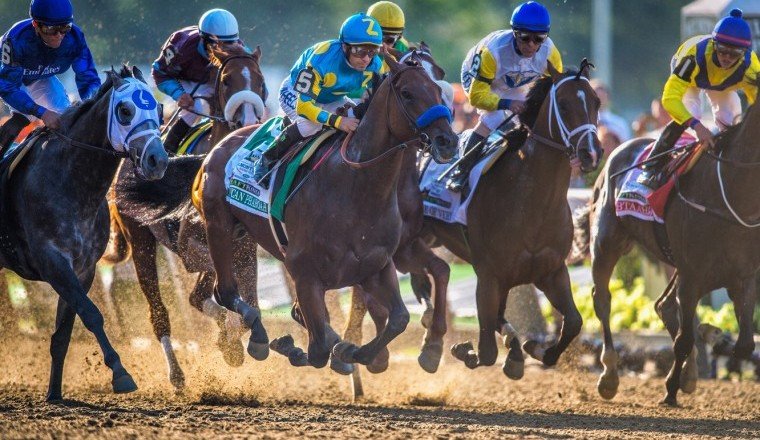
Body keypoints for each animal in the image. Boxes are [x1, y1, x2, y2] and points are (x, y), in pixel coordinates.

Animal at [101, 44, 268, 390]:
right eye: (227, 80)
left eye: (260, 81)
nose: (247, 121)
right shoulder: (194, 248)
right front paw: (230, 339)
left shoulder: (244, 247)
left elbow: (234, 301)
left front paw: (232, 341)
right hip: (142, 242)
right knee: (158, 311)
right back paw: (176, 373)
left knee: (194, 299)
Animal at [196, 54, 458, 372]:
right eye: (407, 93)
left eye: (438, 88)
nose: (448, 141)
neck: (356, 190)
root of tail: (222, 143)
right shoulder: (305, 274)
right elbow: (318, 349)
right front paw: (302, 348)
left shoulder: (378, 265)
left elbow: (399, 319)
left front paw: (354, 351)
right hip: (219, 227)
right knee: (226, 291)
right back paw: (258, 336)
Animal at [406, 61, 604, 378]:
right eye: (563, 103)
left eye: (596, 102)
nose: (591, 153)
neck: (533, 202)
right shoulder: (489, 275)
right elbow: (487, 350)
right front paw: (466, 350)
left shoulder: (551, 271)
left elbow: (573, 322)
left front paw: (534, 349)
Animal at [572, 81, 760, 406]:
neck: (733, 192)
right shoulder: (693, 274)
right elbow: (684, 339)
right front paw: (671, 388)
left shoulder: (744, 275)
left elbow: (745, 343)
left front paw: (708, 345)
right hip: (608, 243)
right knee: (604, 299)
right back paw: (609, 375)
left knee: (665, 306)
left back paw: (692, 368)